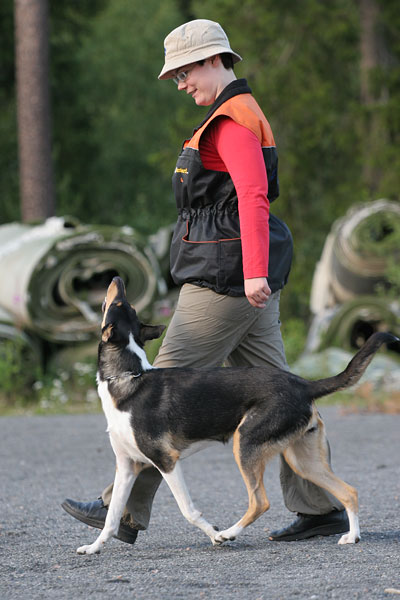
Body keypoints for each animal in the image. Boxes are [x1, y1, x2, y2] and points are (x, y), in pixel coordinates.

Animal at [76, 276, 398, 554]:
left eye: (118, 303)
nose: (116, 278)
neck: (129, 377)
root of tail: (303, 383)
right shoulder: (127, 466)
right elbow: (111, 517)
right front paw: (93, 548)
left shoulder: (166, 461)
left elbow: (188, 510)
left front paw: (214, 534)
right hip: (303, 460)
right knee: (349, 491)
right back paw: (352, 536)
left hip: (245, 444)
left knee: (260, 502)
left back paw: (229, 533)